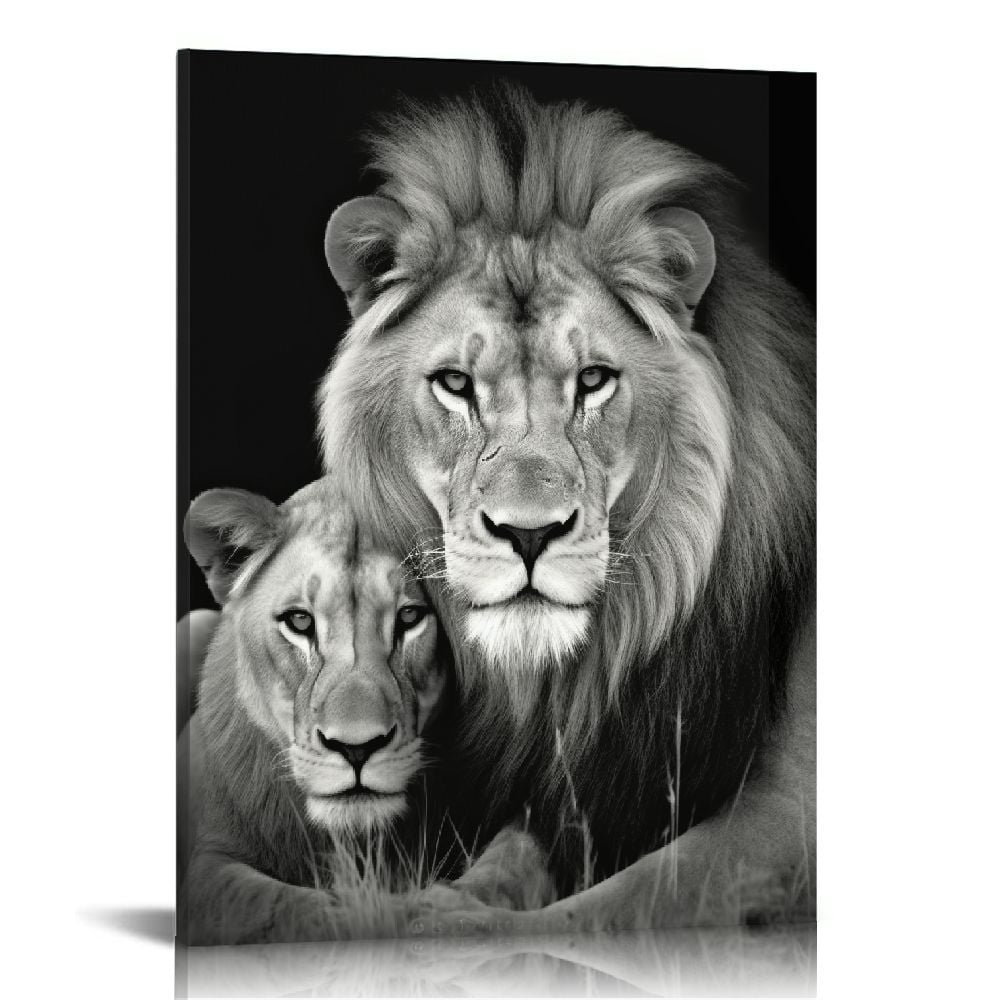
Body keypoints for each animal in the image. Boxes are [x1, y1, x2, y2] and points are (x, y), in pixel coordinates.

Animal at [317, 85, 816, 932]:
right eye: (455, 384)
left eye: (593, 379)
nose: (529, 535)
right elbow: (511, 861)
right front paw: (432, 902)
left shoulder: (787, 812)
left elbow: (621, 905)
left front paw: (452, 930)